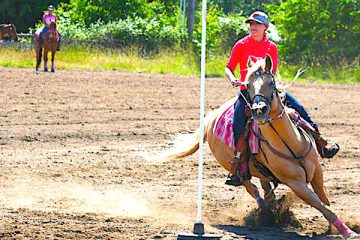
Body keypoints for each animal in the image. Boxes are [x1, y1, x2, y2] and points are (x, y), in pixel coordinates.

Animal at [162, 54, 358, 238]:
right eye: (248, 85)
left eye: (271, 82)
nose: (258, 110)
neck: (291, 143)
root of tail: (211, 117)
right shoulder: (296, 184)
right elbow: (322, 206)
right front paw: (348, 232)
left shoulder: (317, 172)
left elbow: (325, 200)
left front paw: (335, 228)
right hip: (234, 168)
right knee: (251, 187)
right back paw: (264, 211)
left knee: (265, 186)